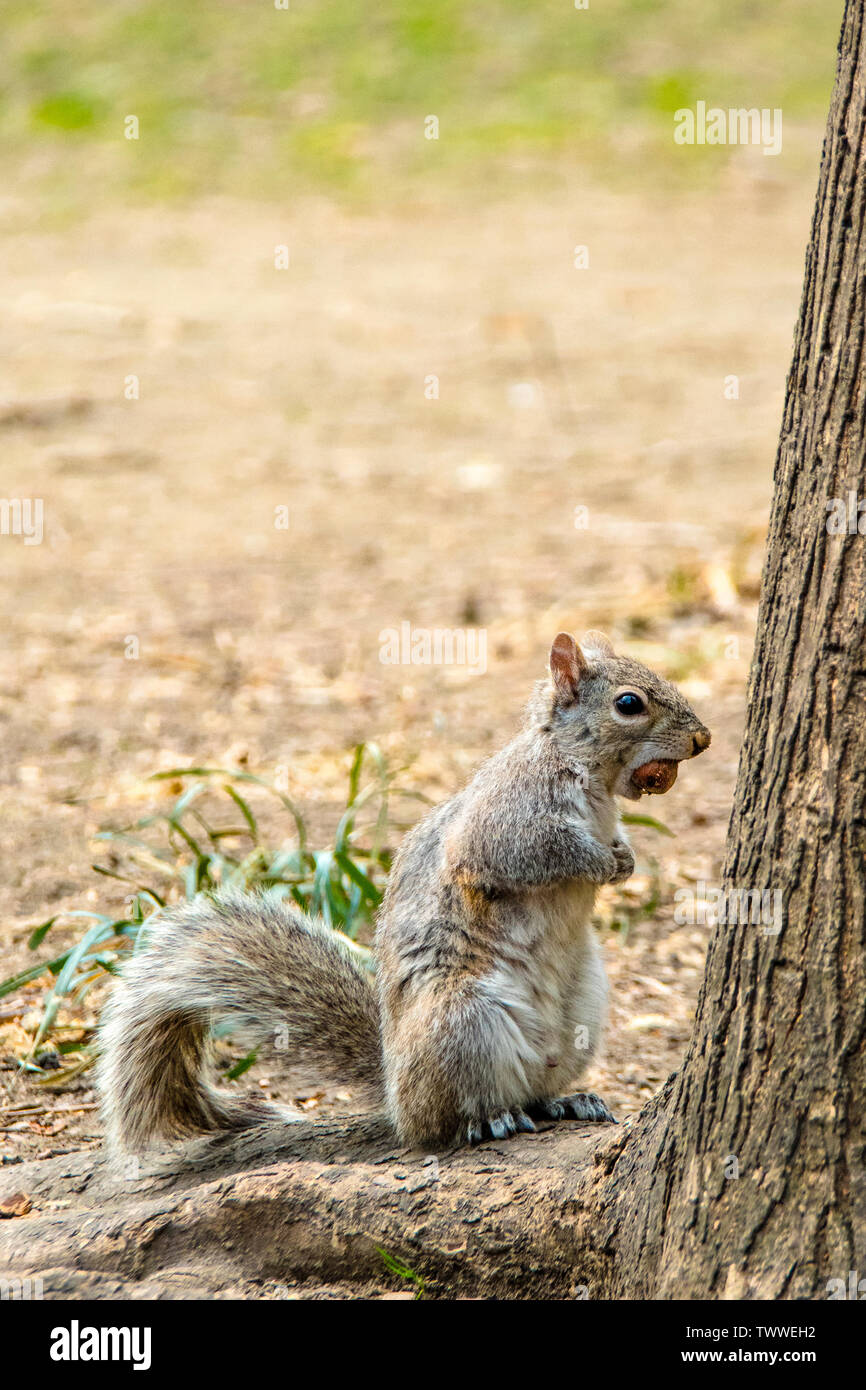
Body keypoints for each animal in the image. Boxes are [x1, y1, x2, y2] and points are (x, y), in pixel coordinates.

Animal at [97, 630, 710, 1155]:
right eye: (628, 704)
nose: (702, 739)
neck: (593, 781)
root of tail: (395, 1093)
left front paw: (626, 858)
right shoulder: (507, 821)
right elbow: (531, 856)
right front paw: (602, 862)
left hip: (580, 1006)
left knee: (533, 1088)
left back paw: (562, 1101)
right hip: (462, 1021)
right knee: (448, 1117)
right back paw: (488, 1120)